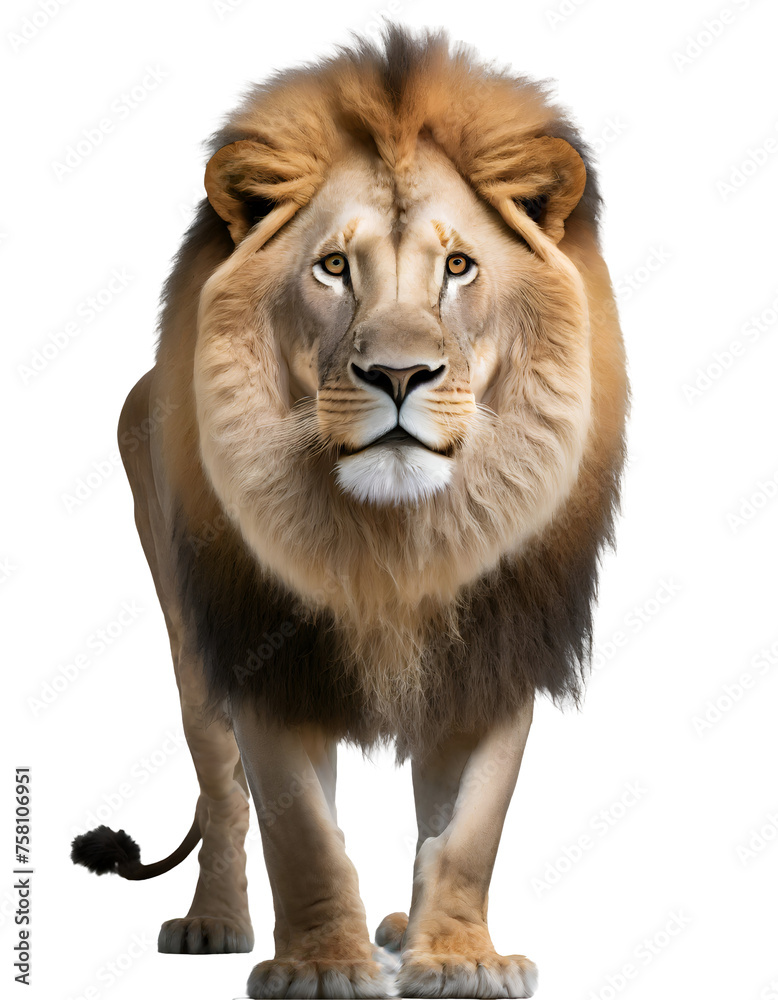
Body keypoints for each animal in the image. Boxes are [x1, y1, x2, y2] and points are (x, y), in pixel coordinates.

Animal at [71, 26, 627, 1000]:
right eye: (334, 267)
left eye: (458, 266)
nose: (399, 376)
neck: (398, 541)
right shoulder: (263, 649)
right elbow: (299, 831)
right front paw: (321, 968)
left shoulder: (496, 647)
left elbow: (468, 828)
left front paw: (462, 958)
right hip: (187, 636)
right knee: (221, 789)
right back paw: (216, 924)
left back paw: (403, 928)